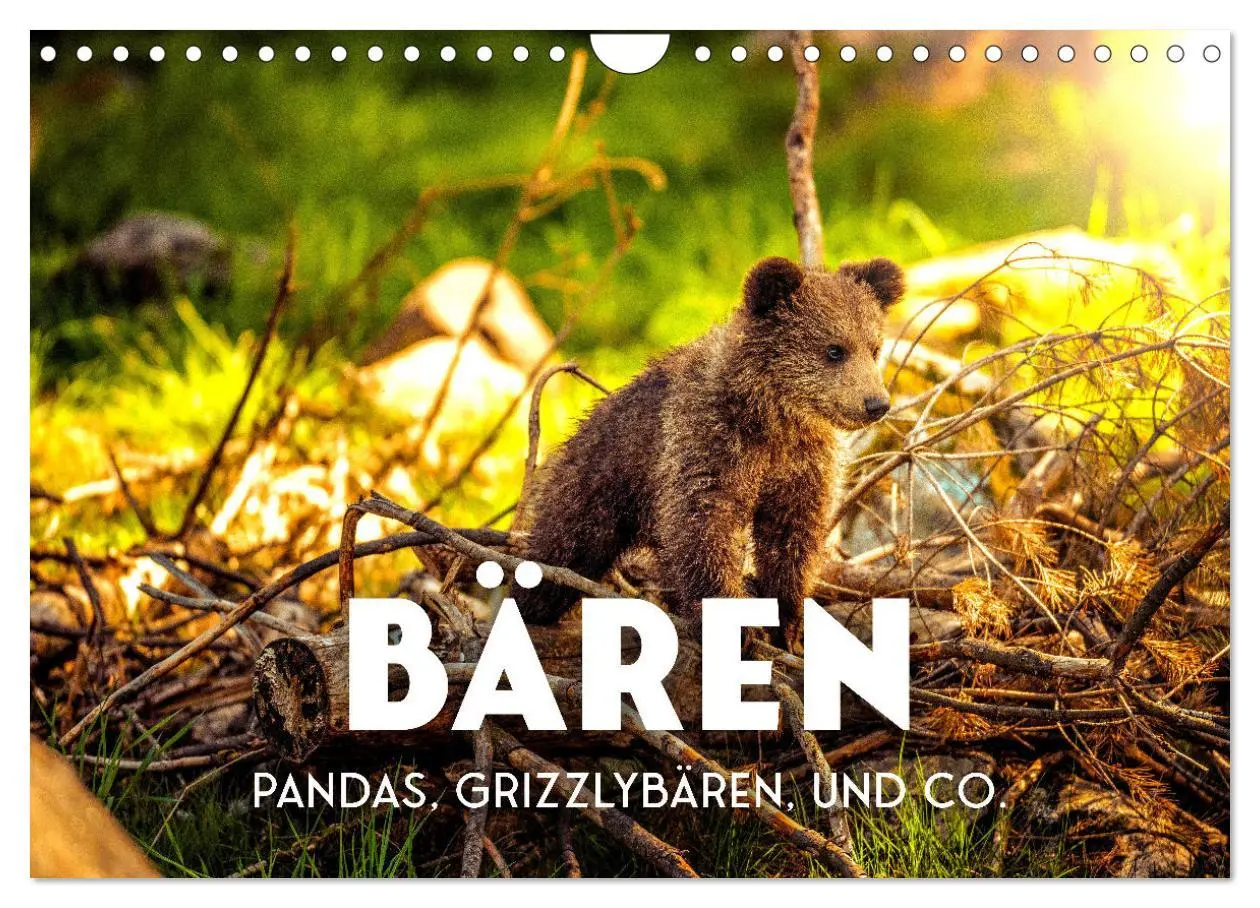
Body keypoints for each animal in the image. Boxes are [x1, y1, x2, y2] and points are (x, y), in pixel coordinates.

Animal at [510, 255, 904, 649]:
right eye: (834, 349)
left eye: (874, 347)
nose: (876, 403)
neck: (773, 418)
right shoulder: (708, 446)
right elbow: (703, 529)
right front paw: (739, 627)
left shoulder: (801, 466)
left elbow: (791, 540)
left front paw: (789, 627)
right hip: (598, 483)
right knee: (564, 548)